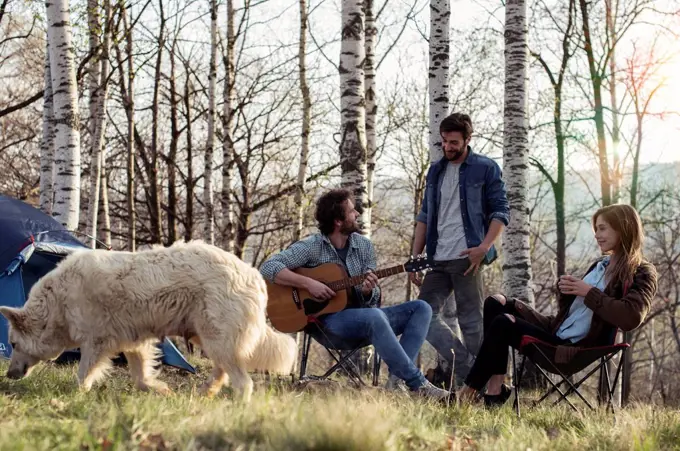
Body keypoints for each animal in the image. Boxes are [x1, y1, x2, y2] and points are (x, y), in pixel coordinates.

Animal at [0, 240, 298, 402]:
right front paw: (161, 389)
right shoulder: (134, 342)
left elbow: (83, 375)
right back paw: (206, 391)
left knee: (243, 381)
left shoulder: (96, 342)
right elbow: (142, 377)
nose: (9, 375)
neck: (56, 304)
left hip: (216, 337)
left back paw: (237, 404)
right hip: (210, 337)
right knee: (223, 370)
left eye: (13, 344)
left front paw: (75, 396)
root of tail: (253, 275)